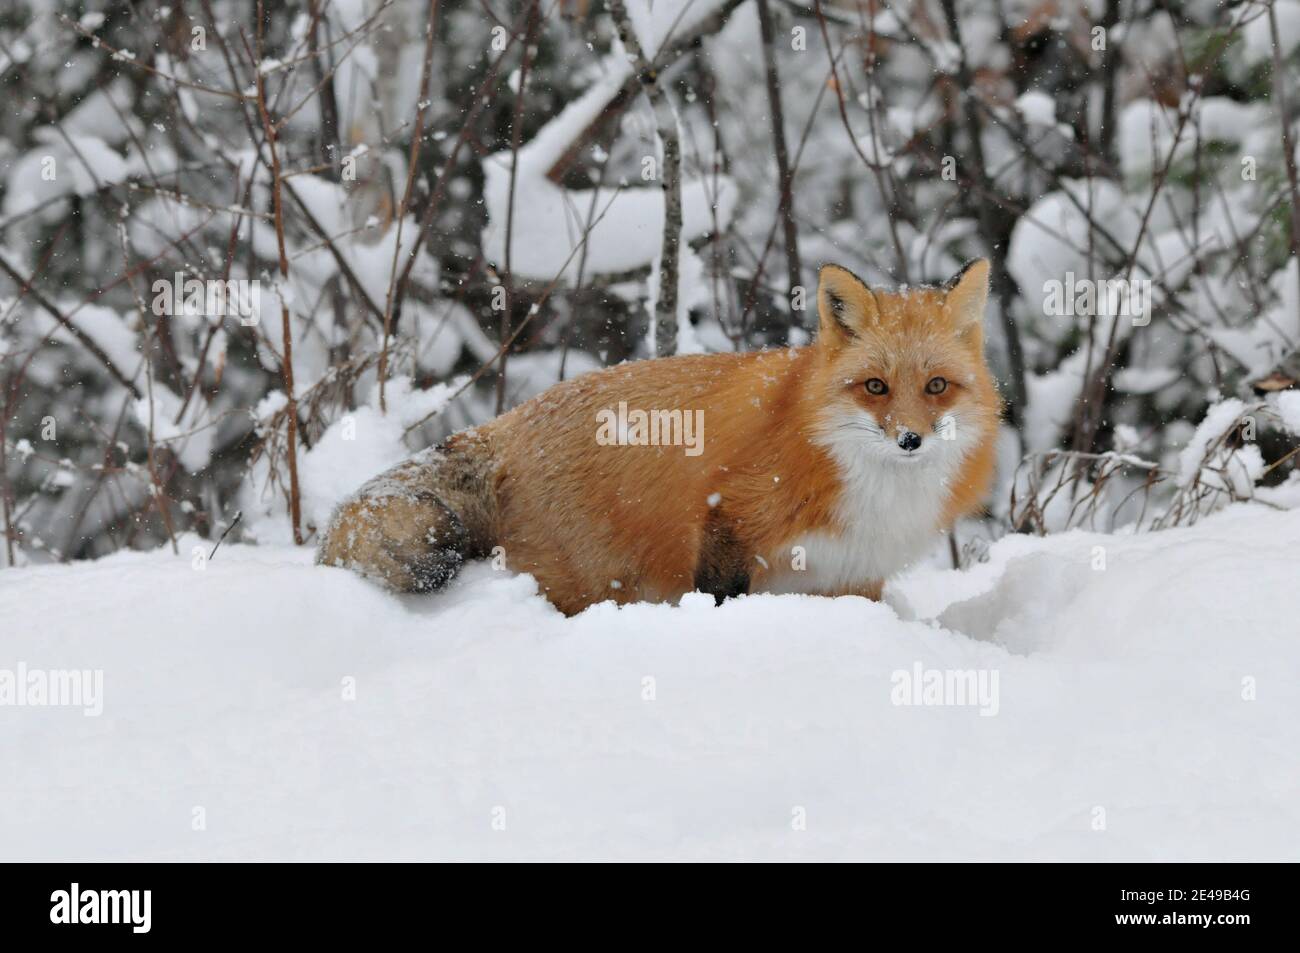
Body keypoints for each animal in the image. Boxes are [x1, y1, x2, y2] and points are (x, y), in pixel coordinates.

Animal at [317, 260, 1003, 613]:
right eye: (876, 387)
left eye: (936, 386)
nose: (910, 440)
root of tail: (509, 422)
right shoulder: (731, 516)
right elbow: (721, 595)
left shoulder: (852, 577)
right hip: (590, 582)